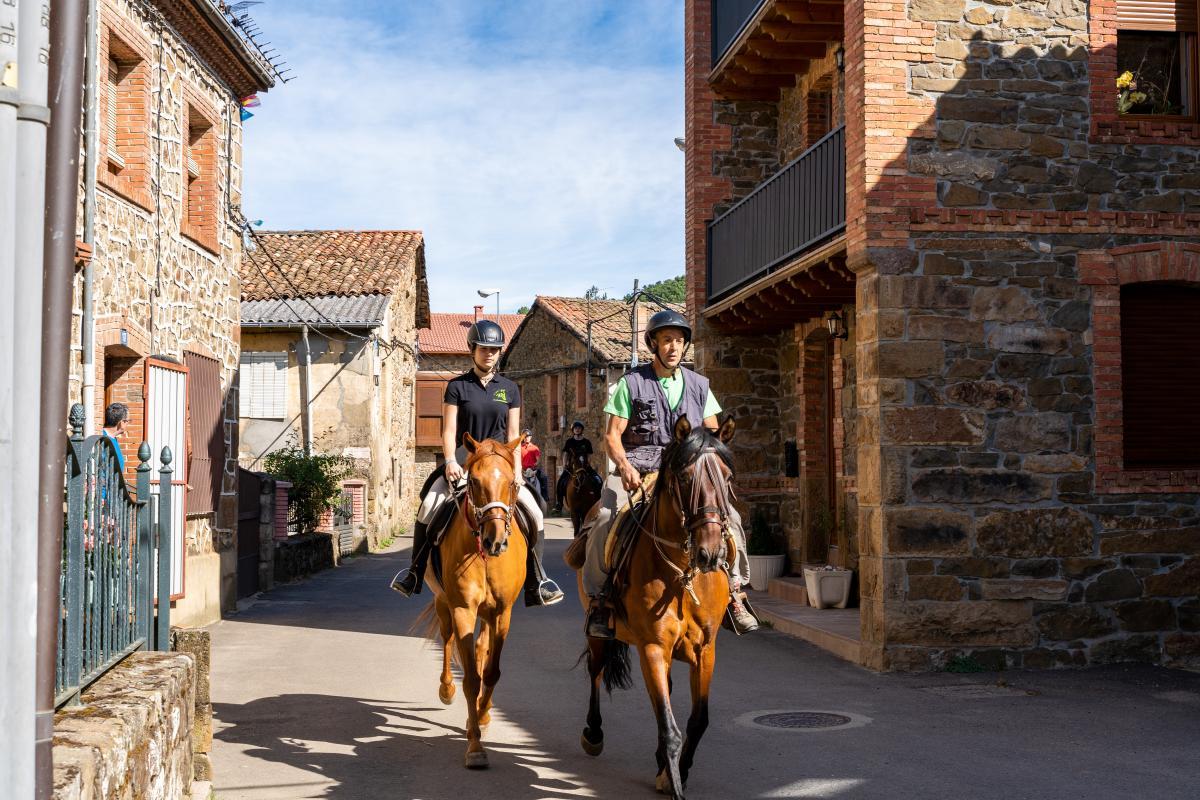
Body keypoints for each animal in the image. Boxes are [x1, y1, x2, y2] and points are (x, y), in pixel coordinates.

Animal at [427, 434, 530, 772]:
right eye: (473, 481)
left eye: (511, 482)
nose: (494, 541)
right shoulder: (462, 609)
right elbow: (471, 677)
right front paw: (474, 747)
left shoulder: (503, 613)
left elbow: (492, 672)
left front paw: (484, 714)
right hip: (443, 603)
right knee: (447, 640)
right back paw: (446, 689)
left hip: (487, 615)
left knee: (482, 647)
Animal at [573, 417, 734, 796]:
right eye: (686, 478)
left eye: (727, 477)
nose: (710, 553)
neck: (682, 576)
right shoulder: (653, 648)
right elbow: (669, 727)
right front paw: (673, 781)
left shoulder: (705, 649)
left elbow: (697, 720)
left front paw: (677, 771)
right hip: (600, 634)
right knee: (596, 670)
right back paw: (593, 734)